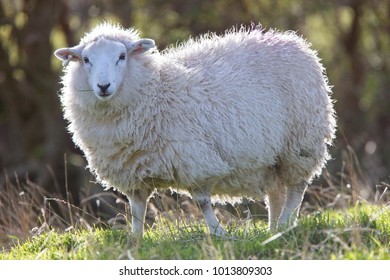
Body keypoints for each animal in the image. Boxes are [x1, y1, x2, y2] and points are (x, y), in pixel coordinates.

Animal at [54, 22, 336, 236]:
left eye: (122, 57)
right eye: (86, 59)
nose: (103, 86)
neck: (155, 90)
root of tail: (292, 41)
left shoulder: (195, 160)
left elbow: (201, 203)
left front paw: (218, 233)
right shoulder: (132, 172)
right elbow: (136, 209)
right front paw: (135, 238)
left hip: (300, 144)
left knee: (297, 188)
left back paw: (286, 224)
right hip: (270, 158)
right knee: (276, 192)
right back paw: (273, 228)